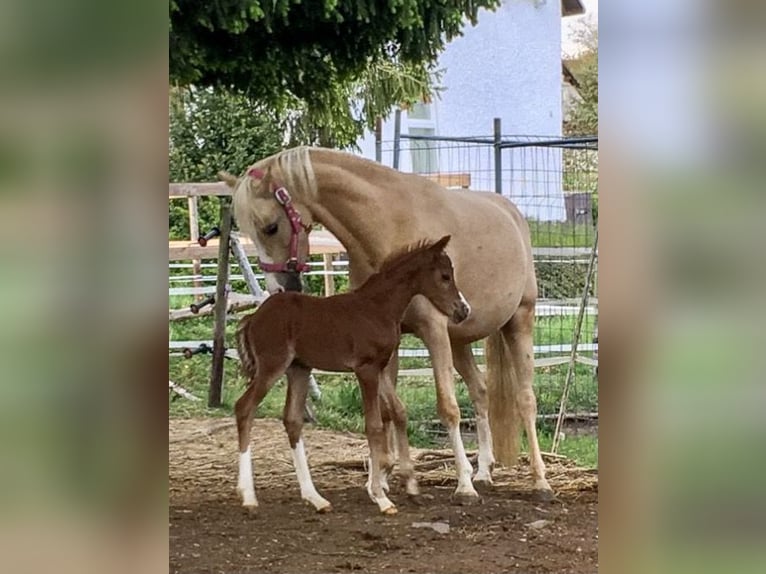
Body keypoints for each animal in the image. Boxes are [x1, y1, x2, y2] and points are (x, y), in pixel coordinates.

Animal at [234, 236, 470, 514]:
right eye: (445, 276)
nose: (463, 311)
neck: (377, 307)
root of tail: (253, 317)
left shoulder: (380, 367)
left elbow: (398, 412)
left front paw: (411, 486)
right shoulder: (365, 369)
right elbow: (374, 425)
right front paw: (381, 497)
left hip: (299, 369)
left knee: (292, 420)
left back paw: (315, 498)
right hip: (272, 366)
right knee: (244, 408)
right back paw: (249, 496)